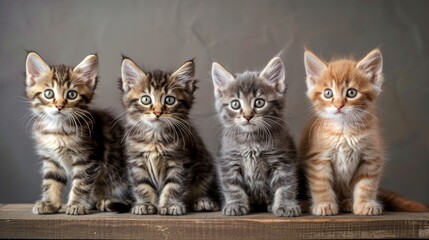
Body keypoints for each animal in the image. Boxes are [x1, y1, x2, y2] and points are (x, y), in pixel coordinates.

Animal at [26, 51, 130, 215]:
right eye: (48, 93)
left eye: (72, 95)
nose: (59, 106)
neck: (58, 129)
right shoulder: (51, 159)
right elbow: (52, 181)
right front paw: (49, 203)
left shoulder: (88, 160)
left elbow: (81, 184)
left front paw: (76, 204)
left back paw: (106, 201)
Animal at [121, 57, 219, 216]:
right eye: (146, 100)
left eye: (169, 100)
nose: (157, 112)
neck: (155, 137)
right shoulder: (137, 162)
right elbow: (142, 185)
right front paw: (145, 204)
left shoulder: (180, 162)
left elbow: (174, 186)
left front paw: (170, 205)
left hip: (206, 169)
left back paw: (204, 201)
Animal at [211, 56, 300, 218]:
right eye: (235, 104)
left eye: (259, 102)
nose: (247, 116)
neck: (250, 140)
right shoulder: (228, 160)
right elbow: (231, 186)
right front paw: (235, 204)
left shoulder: (284, 159)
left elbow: (286, 184)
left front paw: (285, 205)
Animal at [300, 48, 426, 216]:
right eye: (328, 93)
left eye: (351, 93)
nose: (338, 105)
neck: (345, 130)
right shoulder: (319, 158)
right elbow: (321, 183)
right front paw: (324, 204)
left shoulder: (371, 156)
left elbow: (367, 184)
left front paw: (365, 204)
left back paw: (346, 202)